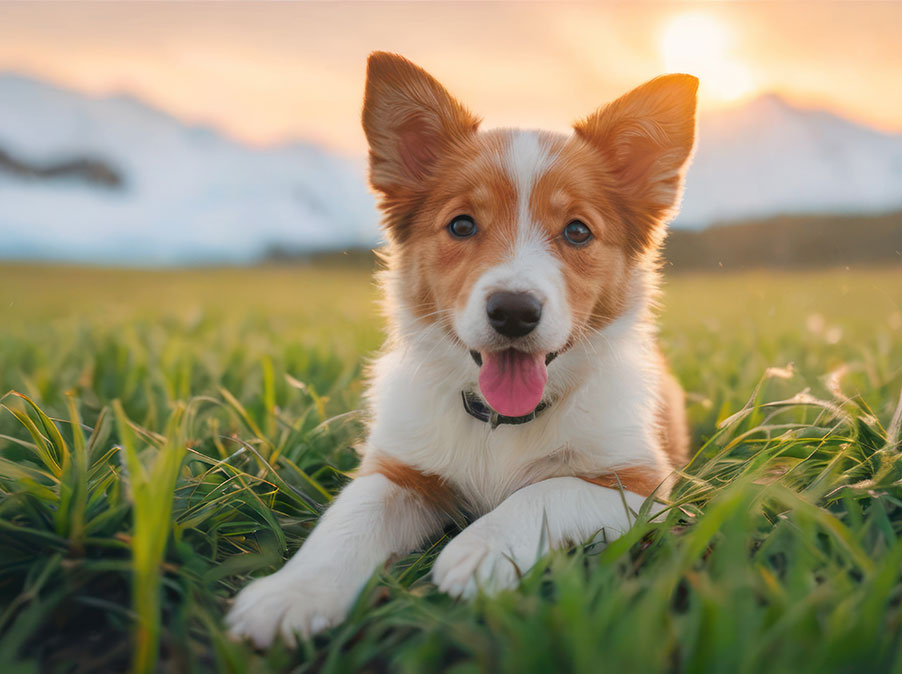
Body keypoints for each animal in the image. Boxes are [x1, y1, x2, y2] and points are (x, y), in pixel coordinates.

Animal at [226, 51, 700, 644]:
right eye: (461, 225)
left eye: (577, 232)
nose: (514, 311)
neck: (501, 425)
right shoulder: (399, 467)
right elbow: (348, 518)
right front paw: (292, 592)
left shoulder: (640, 485)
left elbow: (545, 492)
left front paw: (480, 550)